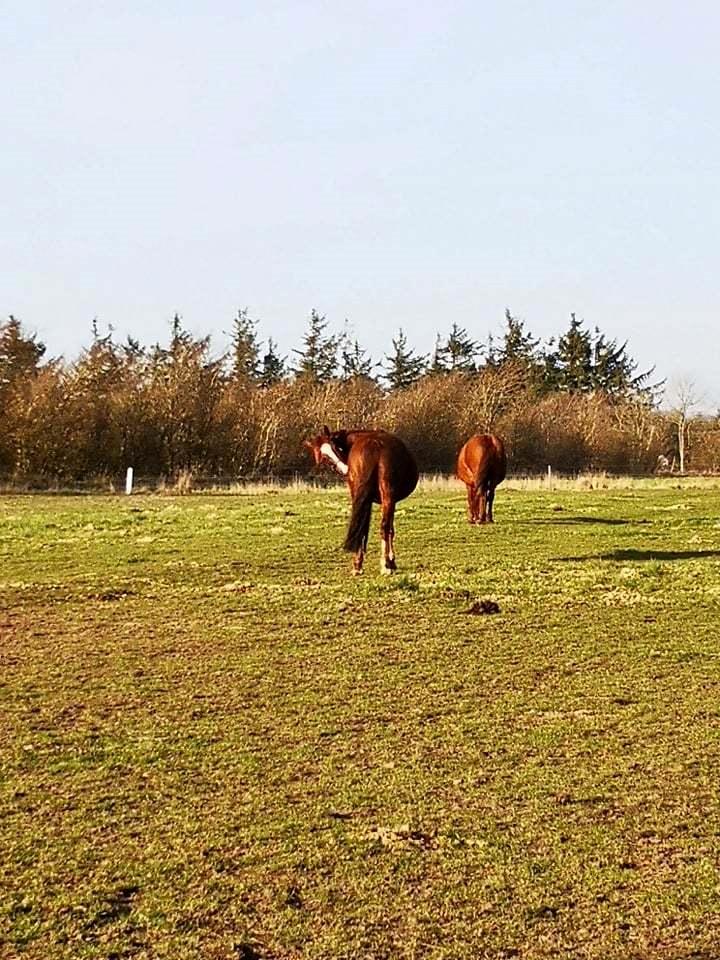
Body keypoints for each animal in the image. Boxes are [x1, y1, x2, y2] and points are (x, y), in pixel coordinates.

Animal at [302, 426, 416, 572]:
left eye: (335, 447)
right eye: (324, 457)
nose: (345, 469)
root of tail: (374, 446)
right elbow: (390, 529)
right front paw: (391, 560)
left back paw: (359, 564)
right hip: (387, 497)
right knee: (384, 527)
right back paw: (384, 564)